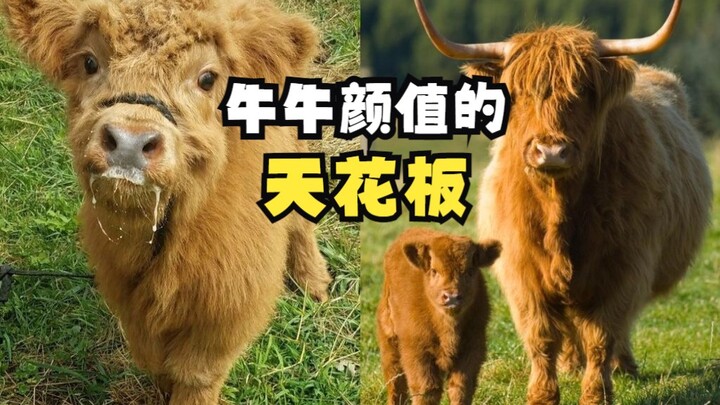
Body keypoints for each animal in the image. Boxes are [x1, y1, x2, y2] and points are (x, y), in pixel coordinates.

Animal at [2, 0, 333, 403]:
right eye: (90, 62)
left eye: (207, 78)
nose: (130, 141)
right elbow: (155, 359)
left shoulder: (225, 311)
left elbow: (197, 374)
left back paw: (313, 282)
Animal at [376, 228, 500, 405]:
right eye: (434, 271)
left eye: (470, 271)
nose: (452, 297)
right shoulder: (417, 352)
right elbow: (426, 390)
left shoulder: (472, 349)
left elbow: (460, 389)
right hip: (389, 341)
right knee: (395, 381)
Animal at [414, 0, 712, 404]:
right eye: (519, 91)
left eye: (583, 90)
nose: (551, 150)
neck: (559, 208)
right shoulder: (522, 272)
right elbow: (541, 336)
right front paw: (543, 394)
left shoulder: (623, 268)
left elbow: (603, 334)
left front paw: (597, 393)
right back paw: (572, 363)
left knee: (616, 327)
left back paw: (623, 366)